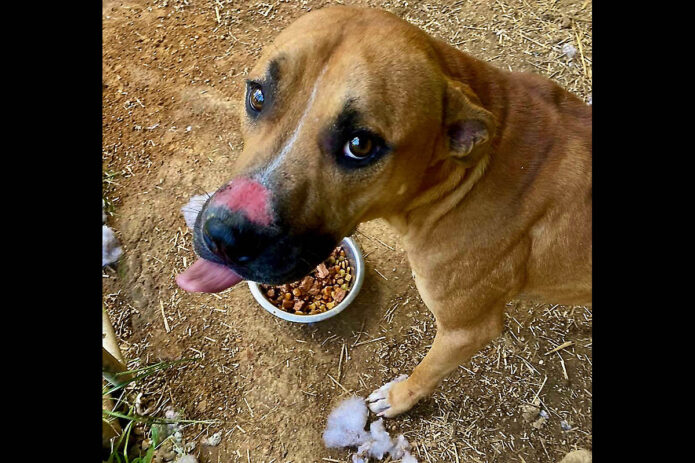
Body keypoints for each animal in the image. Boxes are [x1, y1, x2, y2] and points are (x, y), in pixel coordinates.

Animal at [175, 6, 592, 420]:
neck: (468, 170)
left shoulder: (466, 330)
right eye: (258, 97)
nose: (223, 235)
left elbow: (426, 371)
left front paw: (397, 398)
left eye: (360, 145)